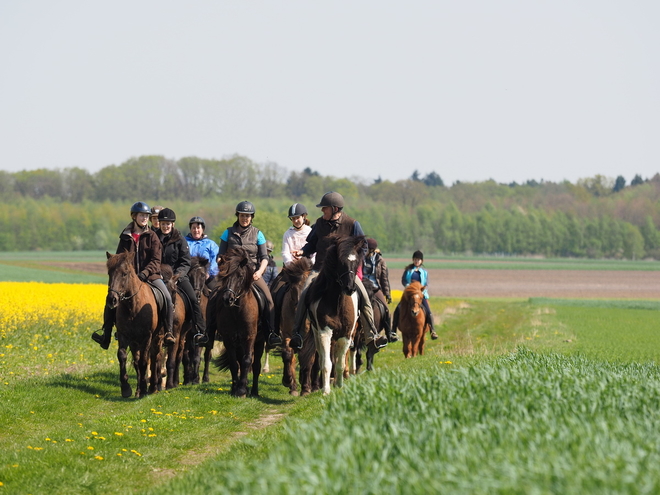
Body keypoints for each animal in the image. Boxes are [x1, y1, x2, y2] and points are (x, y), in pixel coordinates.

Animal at [105, 252, 164, 400]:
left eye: (124, 274)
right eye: (109, 273)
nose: (112, 300)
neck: (133, 307)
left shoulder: (147, 337)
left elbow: (144, 361)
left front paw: (144, 390)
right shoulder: (125, 336)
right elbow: (123, 356)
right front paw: (126, 388)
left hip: (157, 338)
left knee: (154, 358)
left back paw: (153, 387)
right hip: (135, 342)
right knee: (138, 361)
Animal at [210, 248, 264, 400]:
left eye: (240, 275)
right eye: (224, 275)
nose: (227, 299)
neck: (236, 311)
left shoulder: (250, 337)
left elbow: (247, 361)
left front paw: (241, 391)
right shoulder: (228, 338)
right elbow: (234, 364)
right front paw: (235, 389)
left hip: (259, 342)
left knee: (256, 365)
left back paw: (254, 391)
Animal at [274, 258, 314, 398]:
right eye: (293, 290)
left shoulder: (309, 339)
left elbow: (307, 360)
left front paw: (306, 389)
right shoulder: (286, 334)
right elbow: (287, 355)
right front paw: (289, 383)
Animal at [302, 234, 360, 398]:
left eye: (356, 262)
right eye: (341, 262)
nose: (350, 288)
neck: (337, 303)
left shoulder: (346, 335)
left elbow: (340, 363)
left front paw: (339, 385)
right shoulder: (324, 333)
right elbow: (327, 363)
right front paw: (326, 390)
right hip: (317, 334)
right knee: (323, 358)